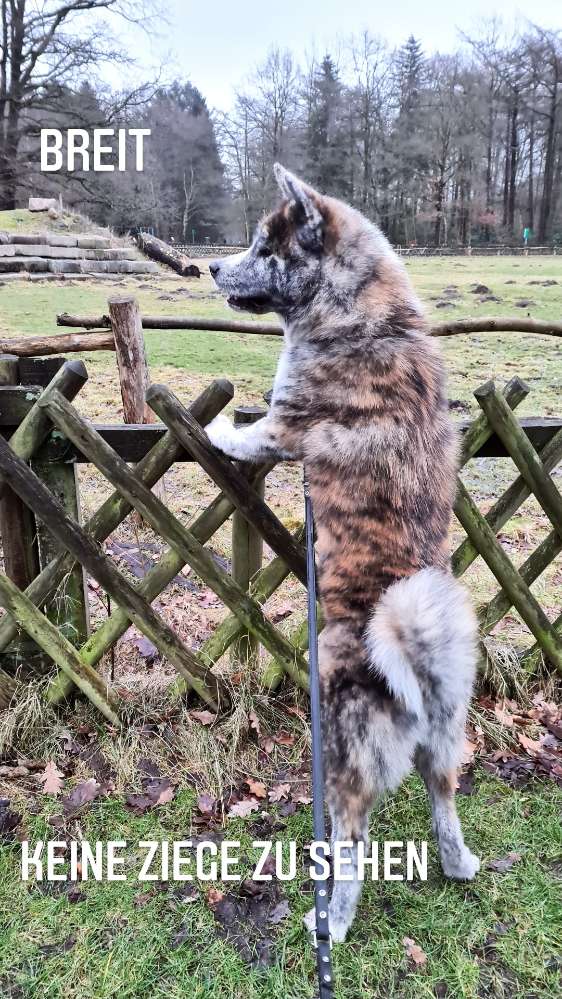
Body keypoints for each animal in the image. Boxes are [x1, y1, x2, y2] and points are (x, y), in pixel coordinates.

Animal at [206, 166, 476, 944]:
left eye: (265, 248)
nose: (209, 267)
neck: (362, 315)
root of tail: (415, 668)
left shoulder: (283, 428)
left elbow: (244, 435)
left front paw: (213, 427)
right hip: (445, 747)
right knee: (445, 802)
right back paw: (460, 864)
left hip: (342, 760)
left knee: (353, 846)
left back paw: (332, 917)